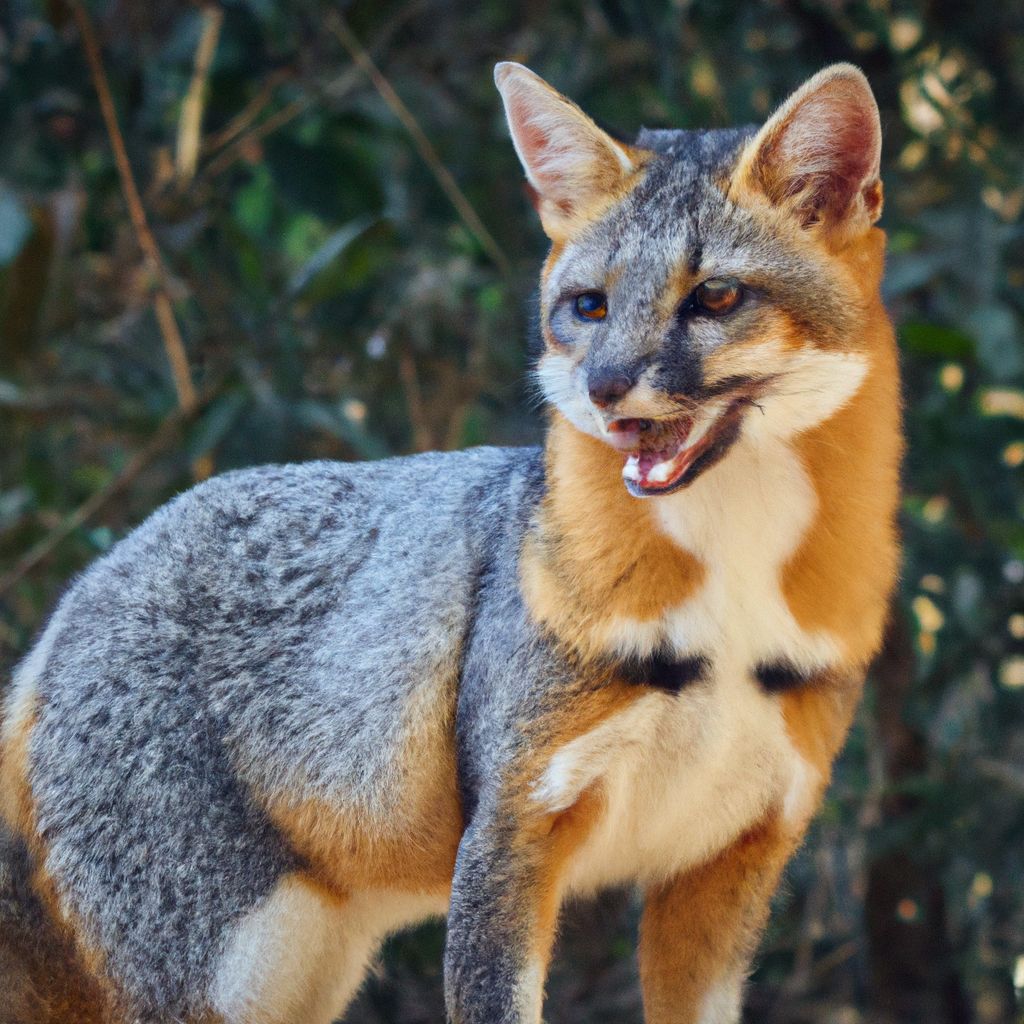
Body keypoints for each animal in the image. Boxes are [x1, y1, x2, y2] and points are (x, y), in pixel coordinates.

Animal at [0, 59, 901, 1019]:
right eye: (588, 307)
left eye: (717, 298)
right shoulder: (512, 832)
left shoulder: (732, 861)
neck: (728, 604)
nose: (606, 389)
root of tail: (76, 599)